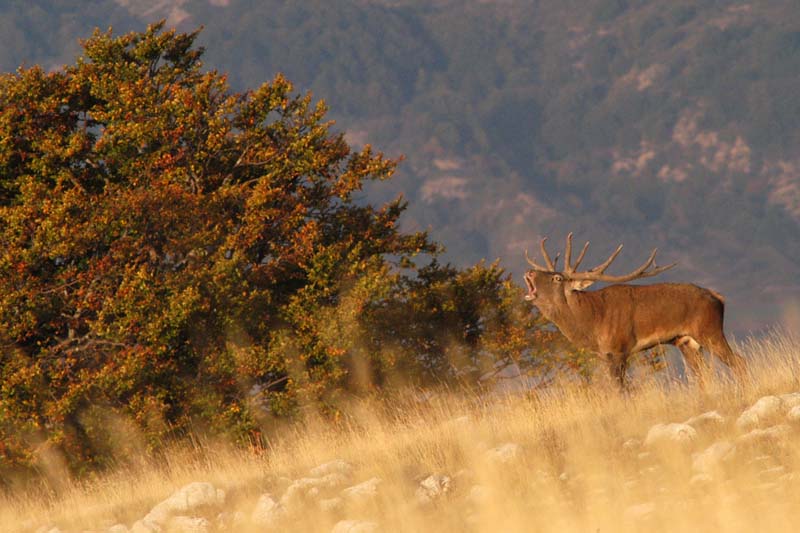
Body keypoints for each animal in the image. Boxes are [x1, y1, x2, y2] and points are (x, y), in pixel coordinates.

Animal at [520, 233, 748, 386]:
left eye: (557, 278)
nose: (529, 271)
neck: (591, 325)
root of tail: (719, 298)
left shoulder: (618, 349)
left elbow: (621, 390)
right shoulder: (605, 355)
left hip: (709, 330)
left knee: (739, 362)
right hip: (686, 342)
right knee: (702, 375)